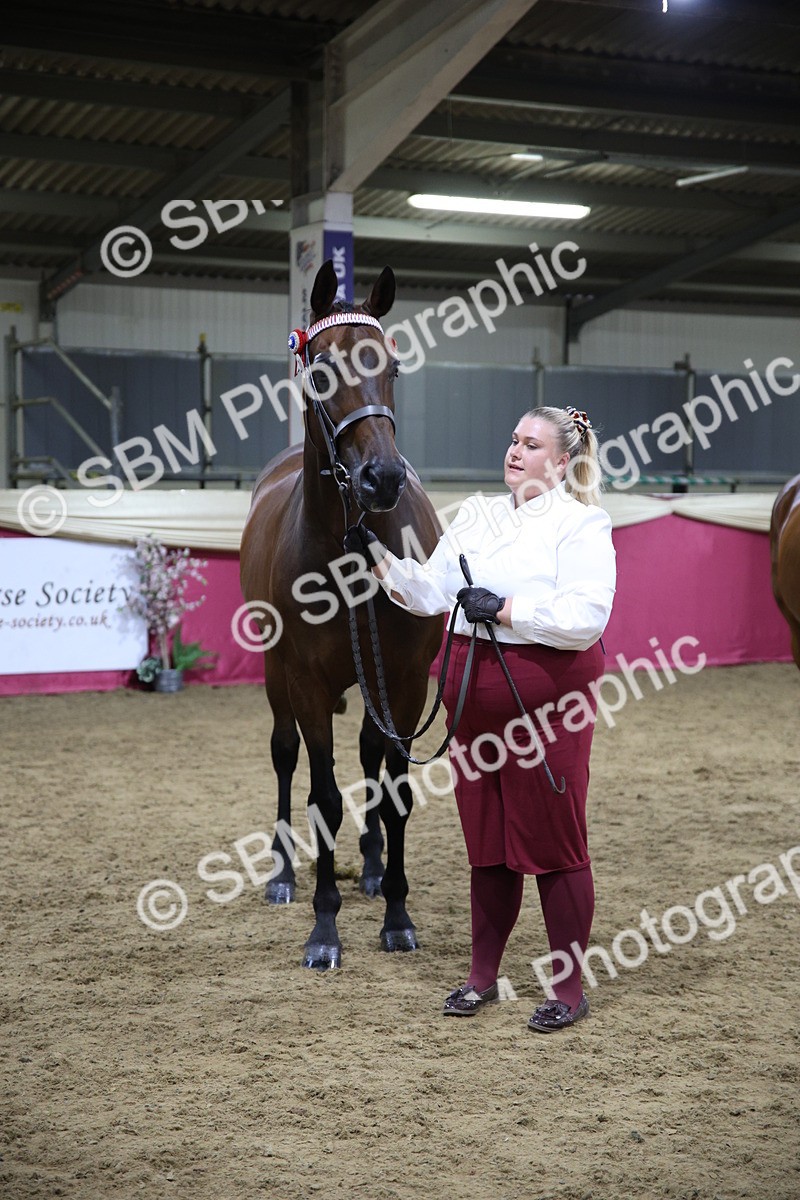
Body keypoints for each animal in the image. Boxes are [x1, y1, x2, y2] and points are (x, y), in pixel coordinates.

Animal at [240, 260, 443, 970]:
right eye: (322, 368)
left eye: (394, 367)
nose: (381, 478)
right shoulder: (305, 681)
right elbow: (323, 797)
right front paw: (324, 929)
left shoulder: (406, 681)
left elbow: (395, 790)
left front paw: (398, 914)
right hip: (276, 676)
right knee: (285, 756)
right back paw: (283, 874)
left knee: (370, 759)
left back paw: (376, 866)